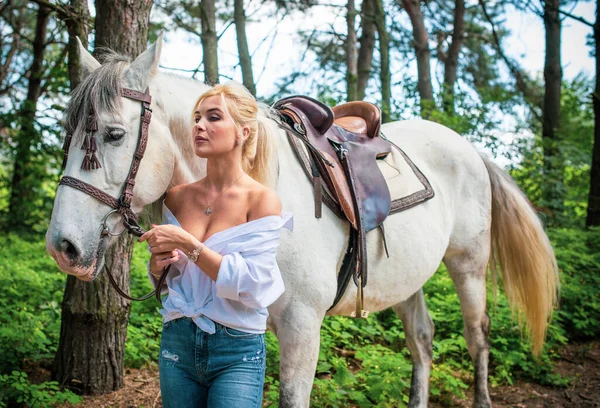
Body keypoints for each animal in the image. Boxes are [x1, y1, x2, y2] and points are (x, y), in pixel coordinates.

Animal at [45, 36, 556, 406]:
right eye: (67, 135)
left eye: (114, 134)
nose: (62, 246)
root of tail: (468, 146)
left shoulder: (301, 328)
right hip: (405, 278)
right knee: (423, 339)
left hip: (468, 264)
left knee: (477, 335)